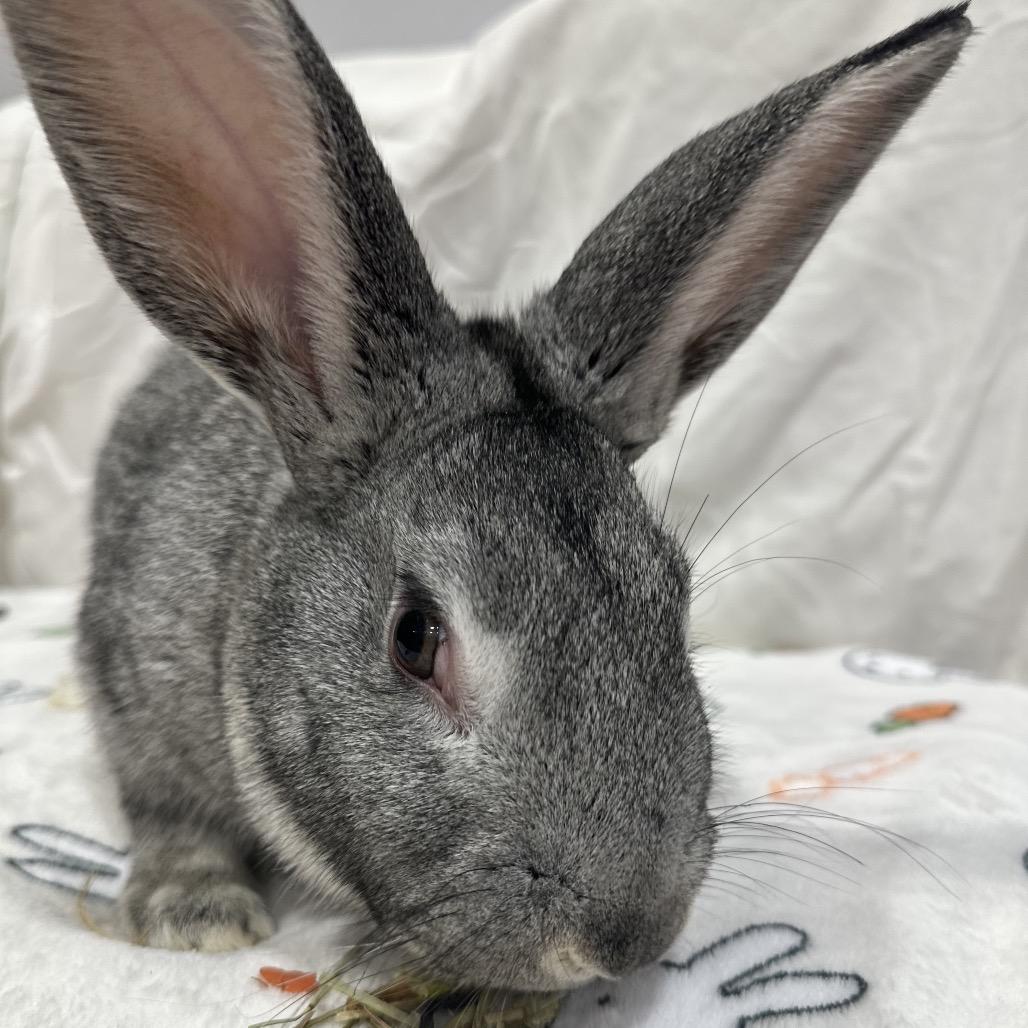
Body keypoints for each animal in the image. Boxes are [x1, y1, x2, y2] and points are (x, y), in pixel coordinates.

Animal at [0, 0, 970, 991]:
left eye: (675, 604)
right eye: (413, 637)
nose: (626, 938)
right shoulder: (136, 683)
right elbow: (170, 814)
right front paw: (196, 917)